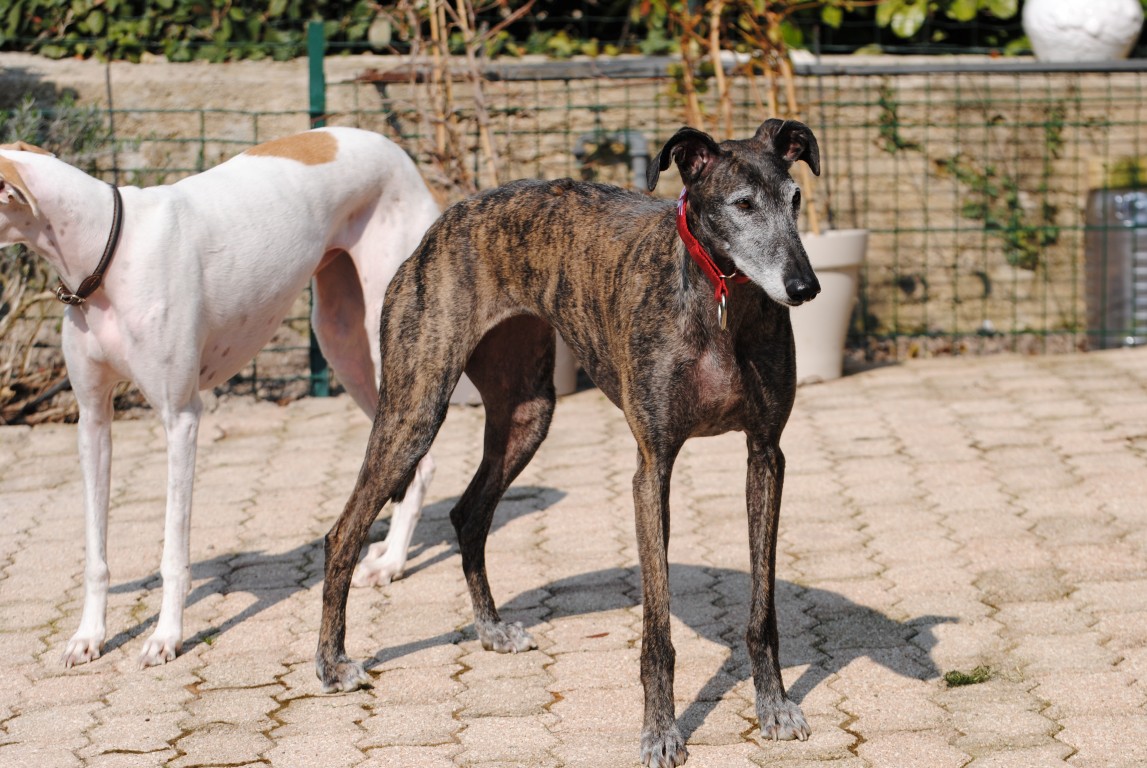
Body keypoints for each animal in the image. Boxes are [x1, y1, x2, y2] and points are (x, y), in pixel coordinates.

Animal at [0, 127, 440, 668]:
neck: (106, 250)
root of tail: (395, 149)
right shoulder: (92, 419)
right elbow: (95, 554)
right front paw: (89, 636)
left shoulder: (181, 417)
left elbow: (173, 552)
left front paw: (166, 637)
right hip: (343, 345)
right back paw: (384, 553)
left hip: (391, 347)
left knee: (422, 462)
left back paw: (393, 561)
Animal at [314, 119, 822, 766]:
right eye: (743, 205)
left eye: (795, 200)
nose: (805, 287)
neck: (720, 299)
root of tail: (444, 222)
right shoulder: (652, 467)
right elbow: (657, 631)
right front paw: (661, 730)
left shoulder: (766, 455)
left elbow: (763, 608)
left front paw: (775, 705)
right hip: (414, 410)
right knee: (344, 532)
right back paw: (332, 664)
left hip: (527, 414)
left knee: (467, 513)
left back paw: (490, 629)